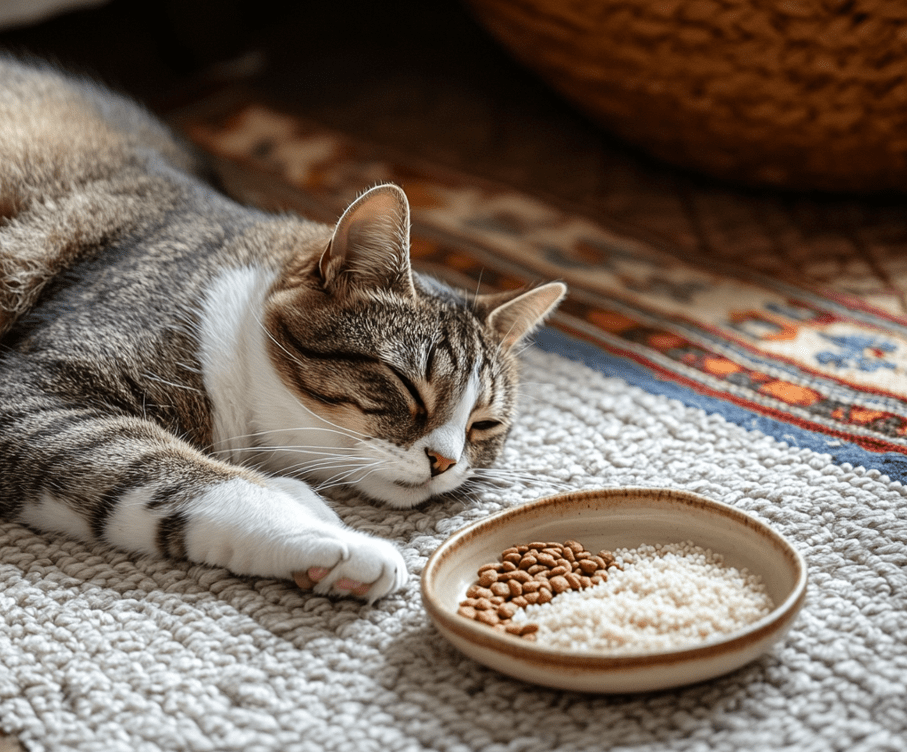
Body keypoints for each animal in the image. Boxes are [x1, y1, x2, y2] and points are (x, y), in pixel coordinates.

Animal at [0, 55, 568, 604]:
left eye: (484, 423)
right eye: (406, 386)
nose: (445, 462)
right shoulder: (37, 394)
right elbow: (179, 474)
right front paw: (338, 541)